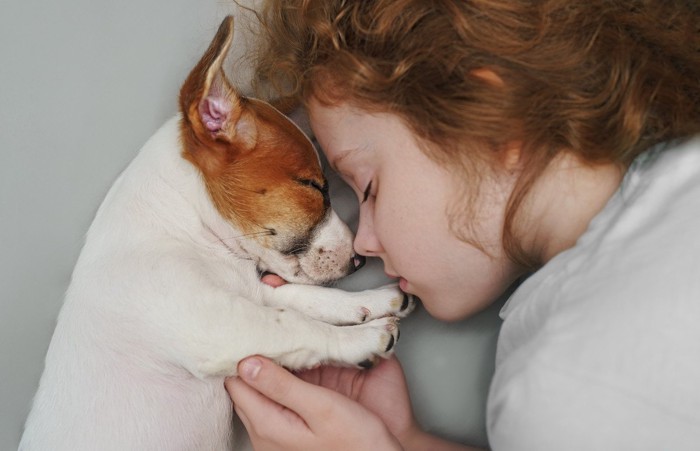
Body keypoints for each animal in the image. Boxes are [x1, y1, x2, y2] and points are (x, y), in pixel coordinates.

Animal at [19, 15, 412, 450]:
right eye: (312, 186)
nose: (360, 260)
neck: (184, 228)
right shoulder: (216, 322)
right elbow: (293, 323)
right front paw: (362, 339)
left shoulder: (252, 292)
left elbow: (306, 299)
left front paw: (373, 301)